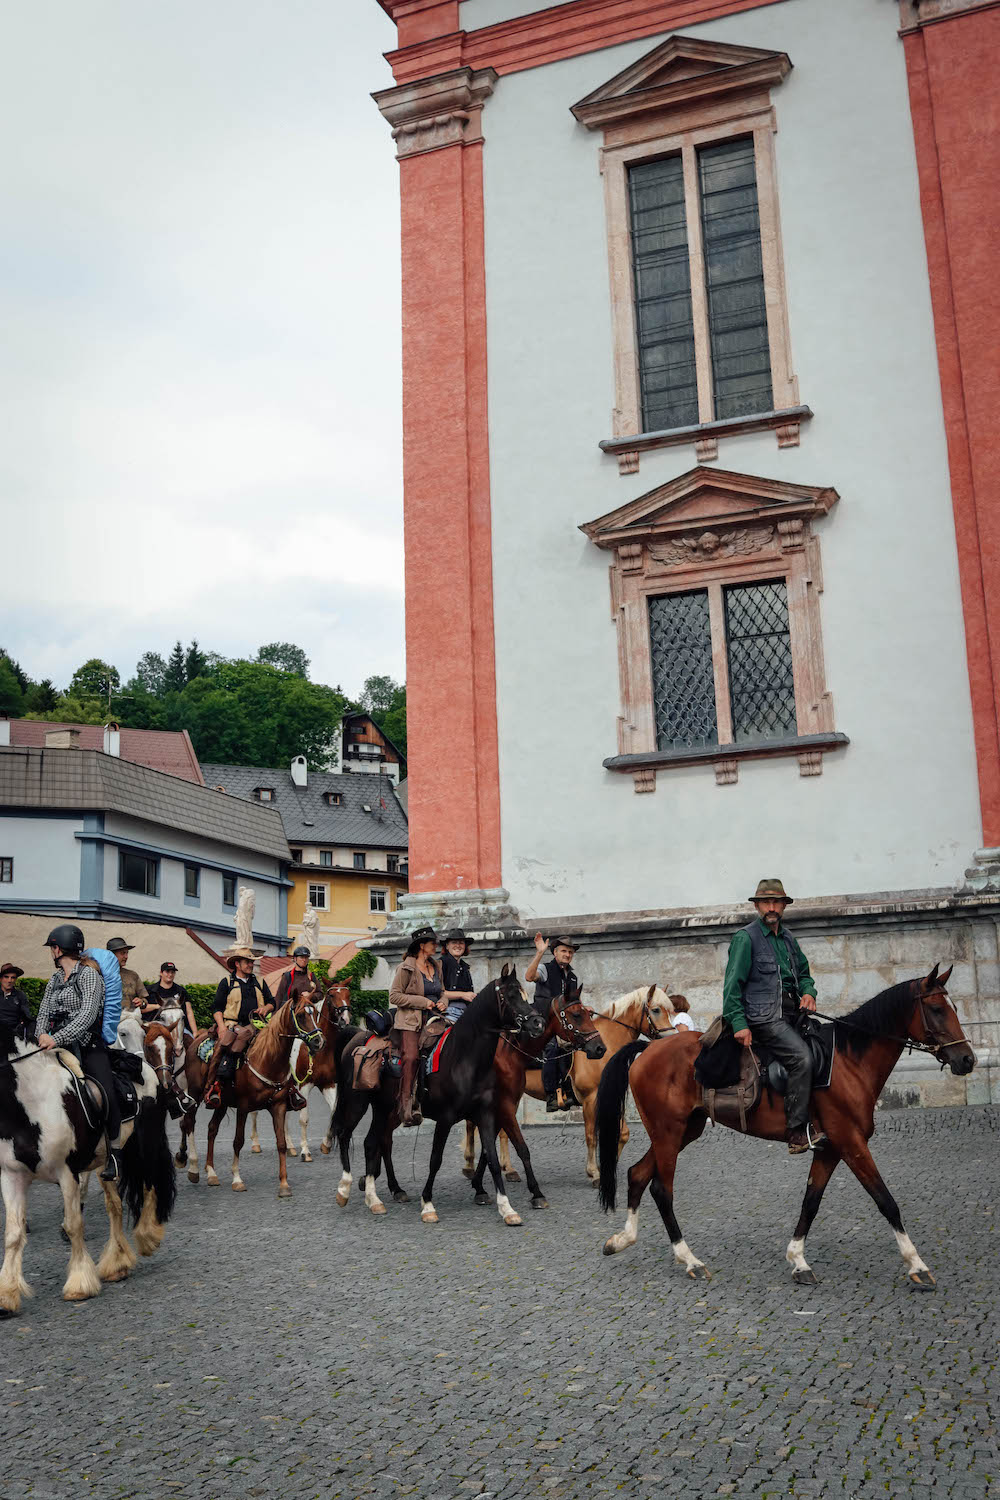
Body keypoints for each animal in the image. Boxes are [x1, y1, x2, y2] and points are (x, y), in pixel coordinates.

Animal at [0, 1020, 176, 1314]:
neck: (31, 1105)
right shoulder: (12, 1176)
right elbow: (13, 1234)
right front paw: (5, 1295)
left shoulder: (67, 1172)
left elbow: (74, 1225)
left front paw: (79, 1284)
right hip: (107, 1162)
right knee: (115, 1207)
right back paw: (117, 1264)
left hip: (146, 1145)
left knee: (150, 1185)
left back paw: (148, 1237)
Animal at [202, 990, 325, 1200]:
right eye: (301, 1015)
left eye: (316, 1013)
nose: (318, 1041)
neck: (266, 1059)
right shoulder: (243, 1107)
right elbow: (238, 1141)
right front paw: (237, 1179)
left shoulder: (278, 1106)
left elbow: (281, 1143)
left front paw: (284, 1184)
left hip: (222, 1103)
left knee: (212, 1129)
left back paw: (211, 1174)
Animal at [413, 966, 542, 1224]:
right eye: (510, 996)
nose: (537, 1023)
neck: (465, 1061)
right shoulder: (446, 1119)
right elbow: (435, 1160)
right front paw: (427, 1203)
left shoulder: (486, 1113)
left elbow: (492, 1158)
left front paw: (506, 1207)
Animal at [464, 984, 677, 1182]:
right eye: (656, 1010)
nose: (670, 1038)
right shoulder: (591, 1099)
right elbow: (591, 1135)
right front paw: (594, 1173)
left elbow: (622, 1133)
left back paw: (503, 1168)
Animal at [599, 972, 971, 1290]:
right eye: (937, 1009)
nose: (967, 1059)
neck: (850, 1062)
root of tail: (649, 1048)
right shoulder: (851, 1143)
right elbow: (885, 1201)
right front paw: (917, 1265)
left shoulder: (830, 1148)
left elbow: (811, 1202)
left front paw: (798, 1260)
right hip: (668, 1133)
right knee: (662, 1189)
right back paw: (690, 1260)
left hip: (681, 1133)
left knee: (637, 1174)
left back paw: (622, 1239)